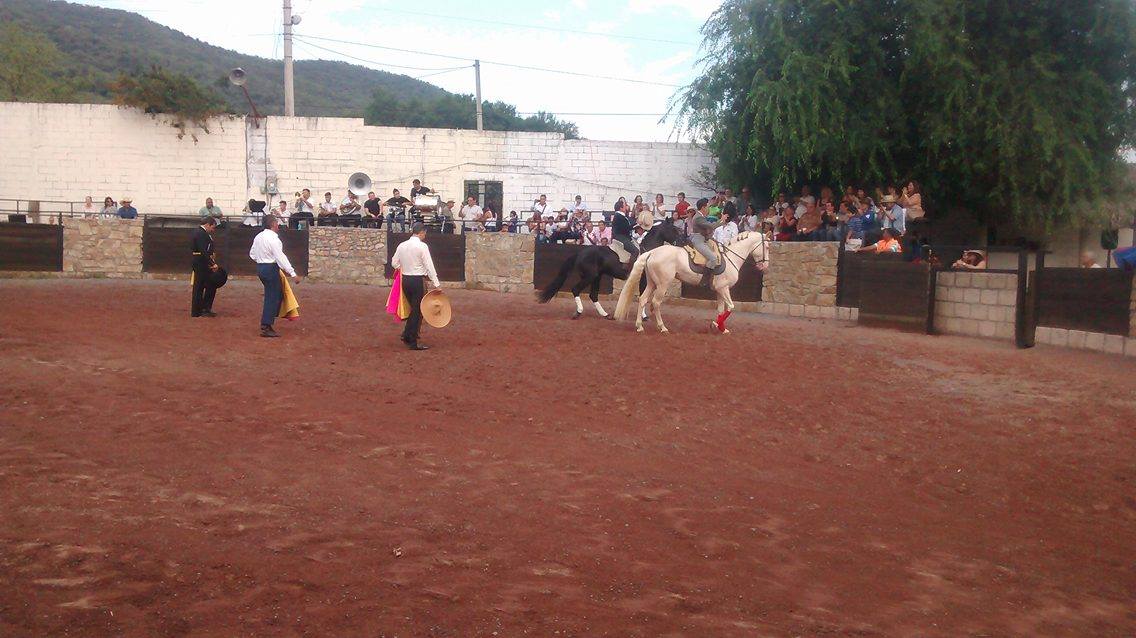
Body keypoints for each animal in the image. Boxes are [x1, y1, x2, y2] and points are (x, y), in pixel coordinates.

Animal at [533, 221, 677, 317]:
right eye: (674, 229)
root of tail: (580, 253)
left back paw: (604, 314)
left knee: (593, 295)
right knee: (576, 289)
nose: (679, 242)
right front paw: (644, 316)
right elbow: (643, 295)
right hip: (590, 276)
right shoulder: (644, 279)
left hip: (597, 276)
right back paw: (579, 312)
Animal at [613, 232, 772, 333]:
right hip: (662, 285)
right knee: (656, 303)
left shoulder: (720, 290)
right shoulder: (724, 288)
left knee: (643, 299)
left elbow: (721, 310)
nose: (765, 266)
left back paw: (639, 326)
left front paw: (720, 327)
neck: (730, 257)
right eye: (767, 247)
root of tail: (652, 252)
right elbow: (731, 307)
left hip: (652, 283)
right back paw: (662, 327)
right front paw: (716, 324)